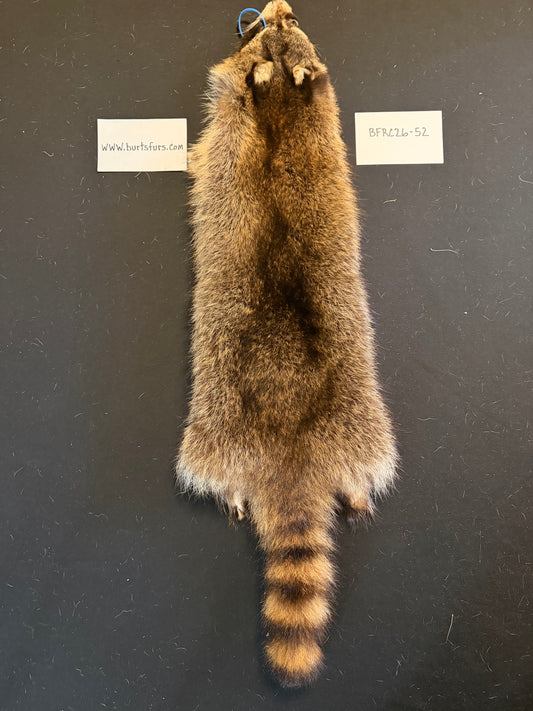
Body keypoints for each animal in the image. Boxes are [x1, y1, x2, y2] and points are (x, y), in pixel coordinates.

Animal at [176, 0, 398, 687]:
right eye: (259, 26)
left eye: (291, 19)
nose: (272, 7)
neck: (275, 104)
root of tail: (291, 454)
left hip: (322, 412)